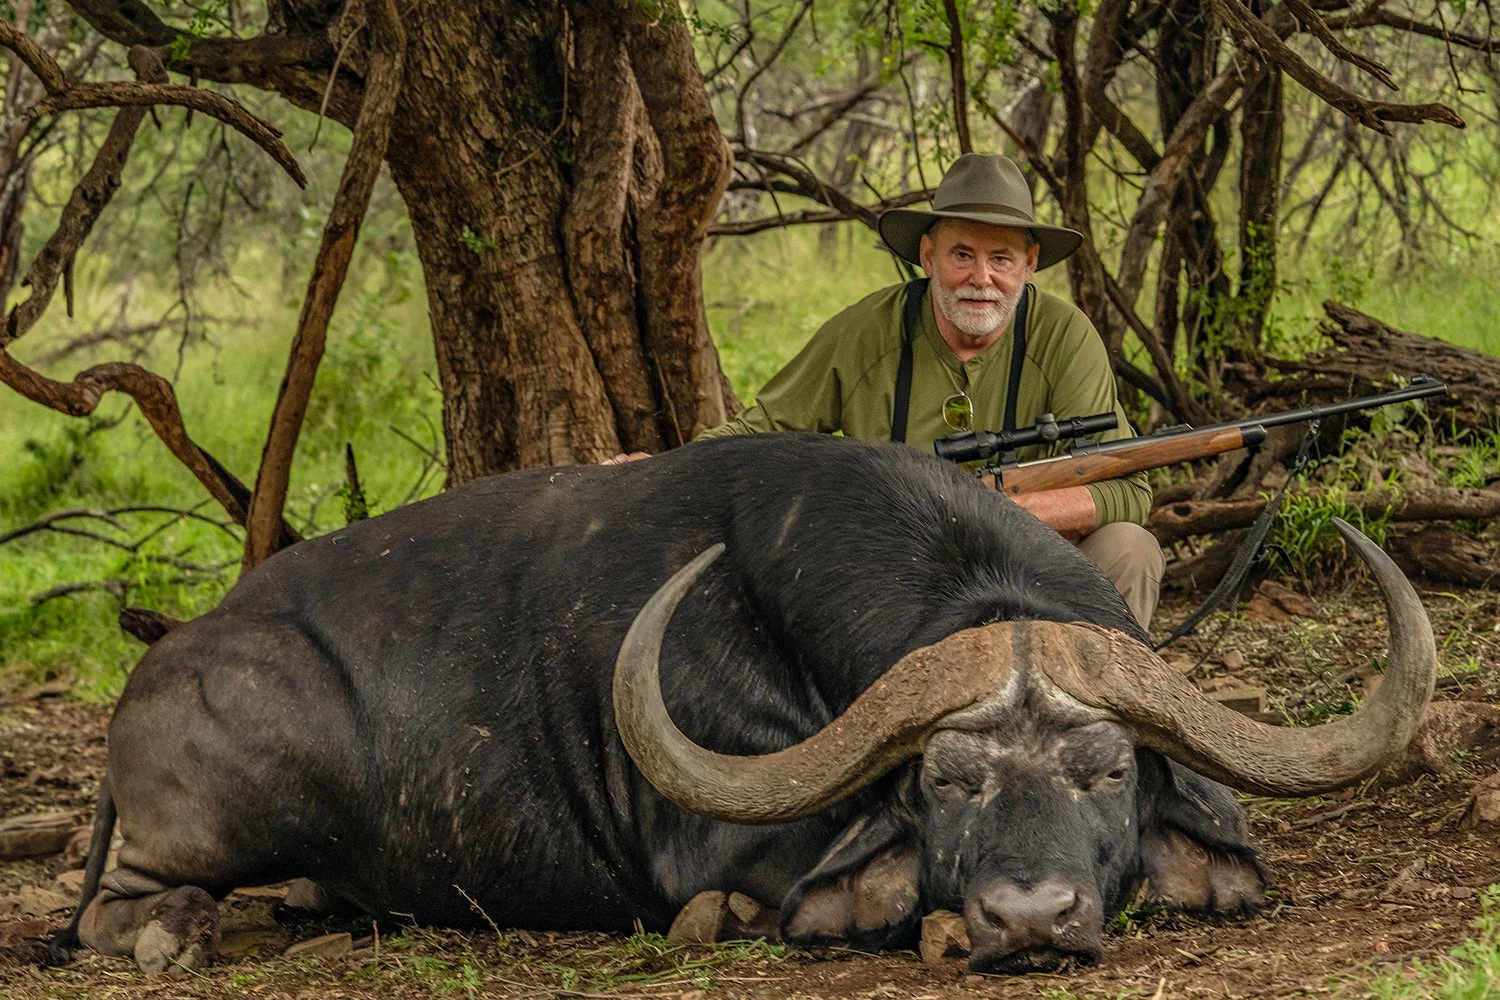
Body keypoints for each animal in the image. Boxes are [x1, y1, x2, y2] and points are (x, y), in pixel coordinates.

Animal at [49, 434, 1428, 971]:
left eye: (1109, 771)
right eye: (945, 780)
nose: (1031, 915)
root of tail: (160, 670)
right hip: (227, 809)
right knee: (129, 902)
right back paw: (180, 929)